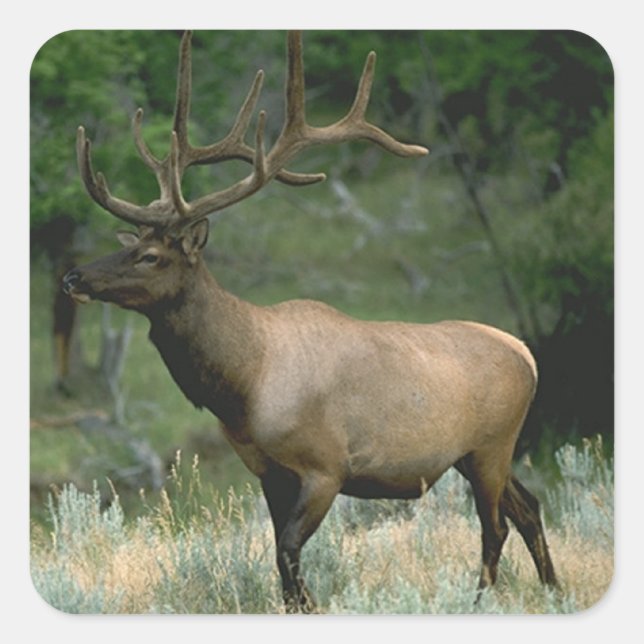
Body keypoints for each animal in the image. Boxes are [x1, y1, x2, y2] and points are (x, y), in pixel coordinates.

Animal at [62, 30, 557, 612]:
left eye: (150, 256)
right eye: (131, 244)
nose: (73, 276)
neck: (244, 384)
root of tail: (527, 354)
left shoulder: (325, 467)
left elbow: (288, 555)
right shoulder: (267, 471)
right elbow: (280, 562)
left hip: (492, 443)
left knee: (495, 524)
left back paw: (478, 600)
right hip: (477, 452)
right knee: (530, 508)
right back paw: (554, 590)